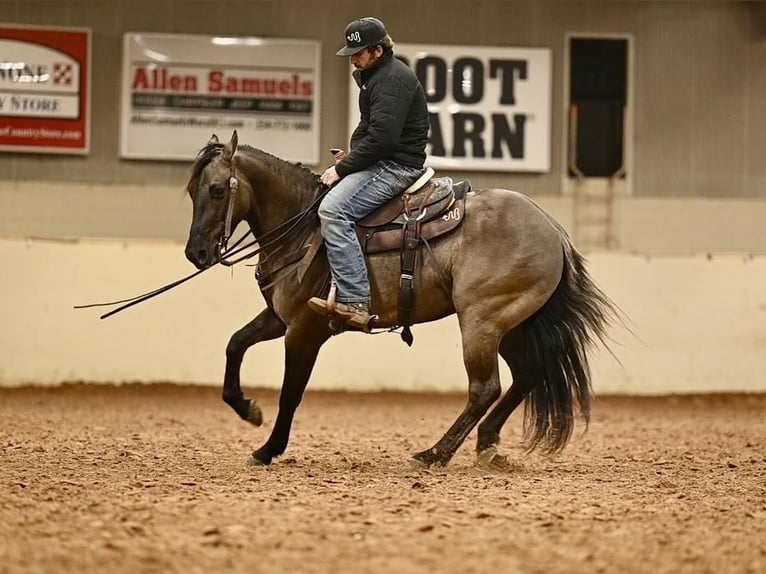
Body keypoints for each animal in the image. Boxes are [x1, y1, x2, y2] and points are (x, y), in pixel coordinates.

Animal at [184, 133, 616, 470]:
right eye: (191, 191)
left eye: (217, 190)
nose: (196, 253)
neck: (303, 229)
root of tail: (552, 229)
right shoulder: (280, 318)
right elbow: (236, 344)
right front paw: (248, 409)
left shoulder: (304, 331)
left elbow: (291, 392)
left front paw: (268, 449)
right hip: (513, 324)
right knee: (526, 374)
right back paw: (486, 445)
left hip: (482, 321)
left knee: (485, 388)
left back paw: (433, 454)